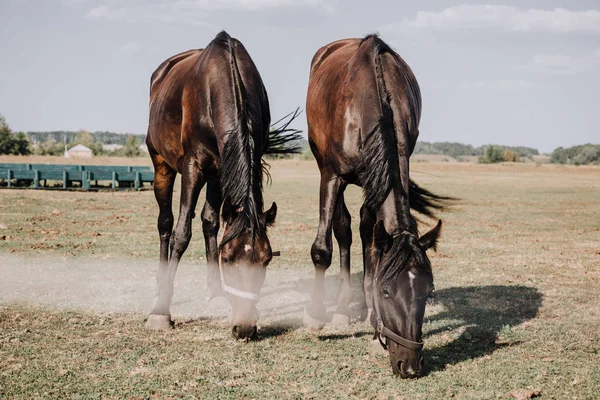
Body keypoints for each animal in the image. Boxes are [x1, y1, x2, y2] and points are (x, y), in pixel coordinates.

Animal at [144, 31, 302, 340]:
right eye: (227, 259)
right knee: (165, 224)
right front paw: (161, 312)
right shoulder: (193, 167)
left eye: (266, 261)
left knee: (209, 221)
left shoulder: (224, 167)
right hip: (161, 164)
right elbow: (182, 233)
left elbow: (211, 223)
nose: (245, 327)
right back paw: (160, 286)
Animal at [304, 35, 446, 378]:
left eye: (428, 291)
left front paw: (373, 326)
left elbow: (372, 247)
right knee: (342, 229)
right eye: (387, 292)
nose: (410, 365)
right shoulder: (331, 176)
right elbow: (323, 249)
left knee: (363, 228)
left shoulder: (387, 173)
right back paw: (341, 310)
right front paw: (315, 316)